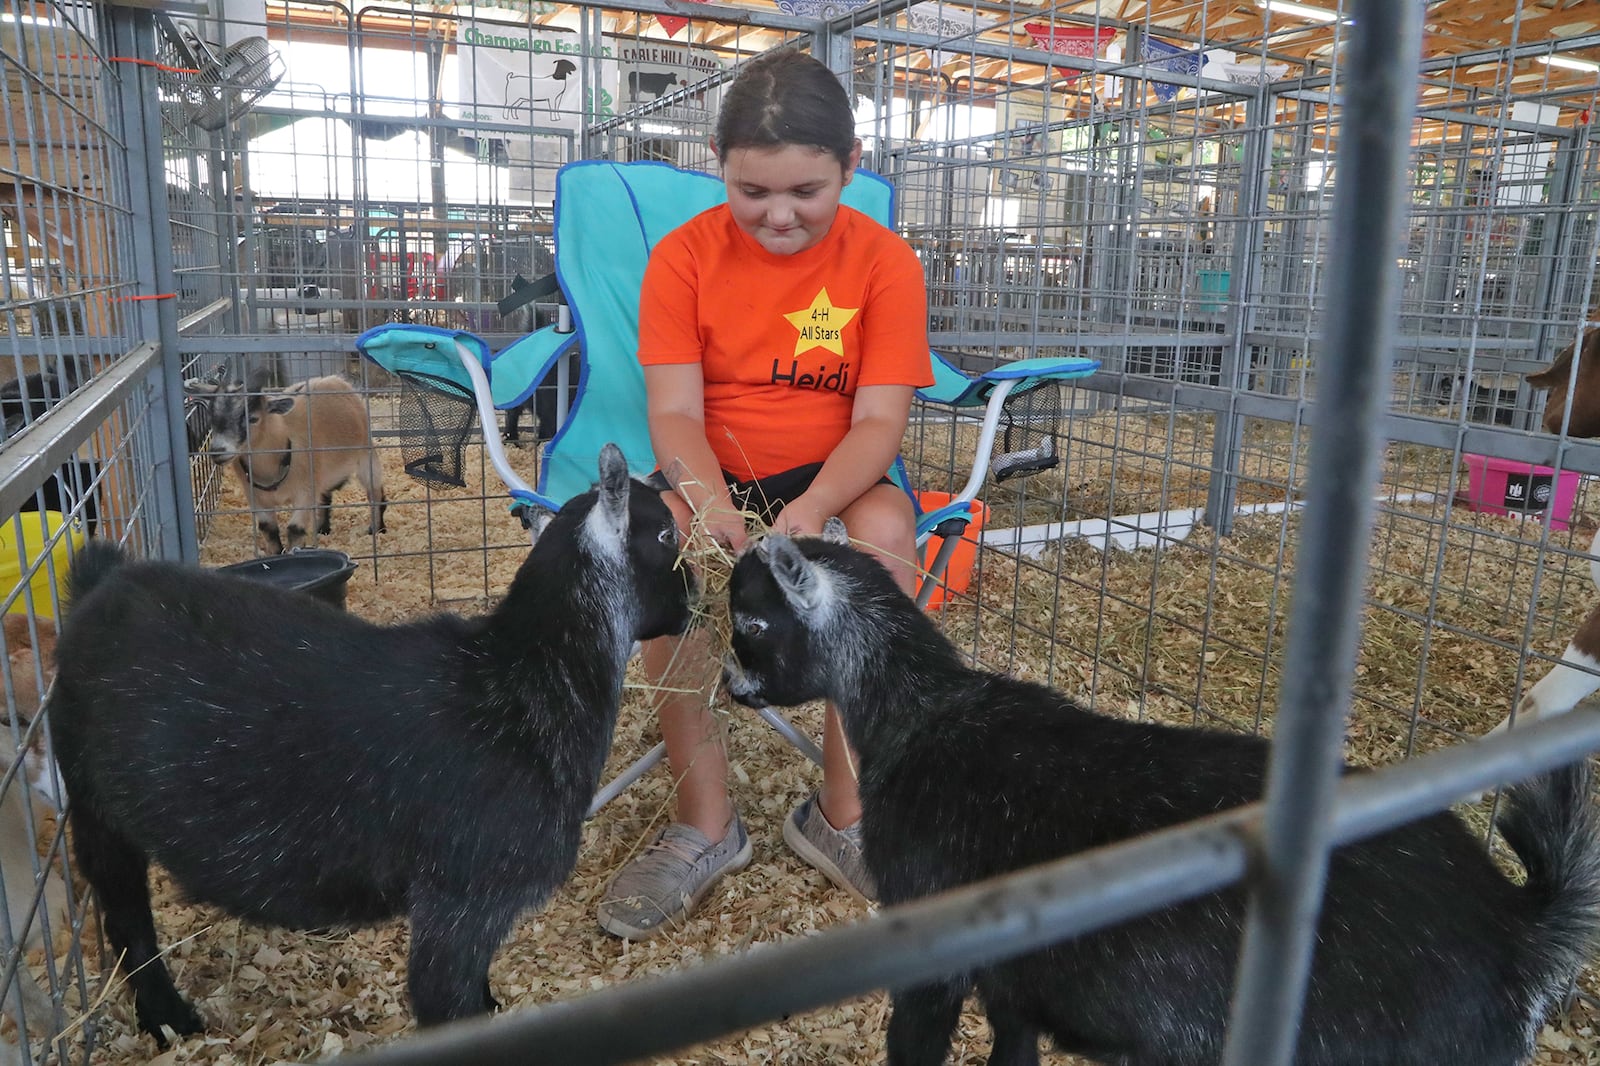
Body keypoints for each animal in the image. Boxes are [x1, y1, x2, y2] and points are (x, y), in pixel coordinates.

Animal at [53, 438, 691, 1037]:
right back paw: (167, 1016)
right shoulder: (464, 899)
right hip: (92, 803)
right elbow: (447, 1005)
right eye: (665, 533)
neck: (521, 679)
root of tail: (101, 586)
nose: (694, 600)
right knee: (126, 914)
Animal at [185, 369, 385, 550]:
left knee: (375, 494)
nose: (217, 451)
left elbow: (295, 529)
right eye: (212, 417)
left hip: (366, 456)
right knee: (324, 497)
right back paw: (322, 529)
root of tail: (336, 380)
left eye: (253, 418)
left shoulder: (304, 492)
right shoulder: (256, 498)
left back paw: (377, 529)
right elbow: (269, 530)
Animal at [723, 521, 1600, 1062]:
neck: (925, 712)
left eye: (754, 623)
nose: (730, 685)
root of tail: (1517, 927)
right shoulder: (1016, 982)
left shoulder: (932, 948)